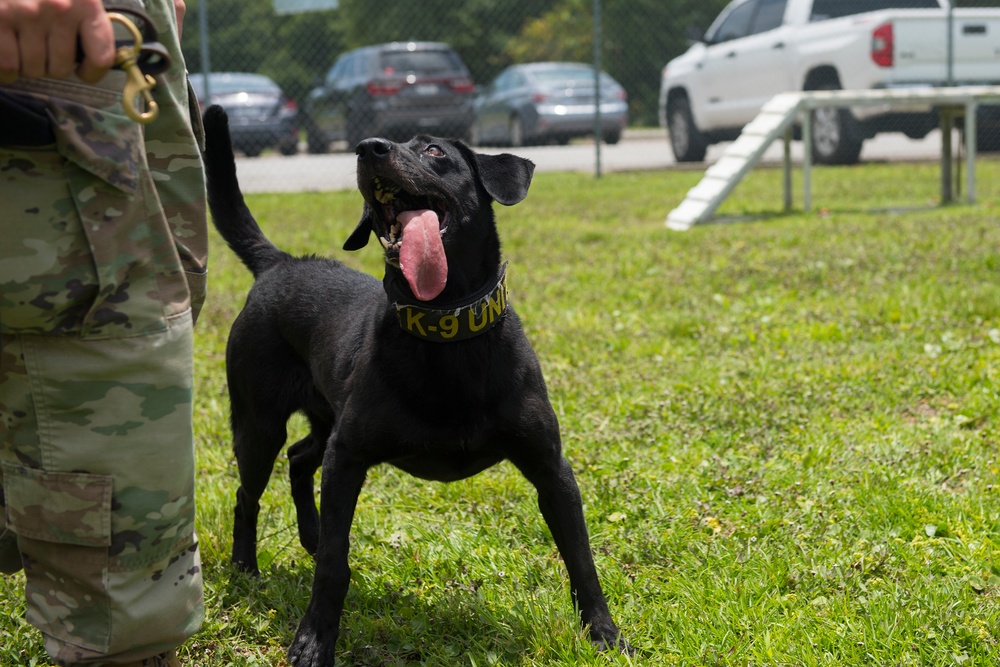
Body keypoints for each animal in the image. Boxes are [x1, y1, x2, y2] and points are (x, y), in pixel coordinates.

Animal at [199, 107, 628, 664]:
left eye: (433, 150)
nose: (368, 147)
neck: (446, 331)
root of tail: (281, 263)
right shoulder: (349, 455)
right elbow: (334, 564)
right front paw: (314, 641)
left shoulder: (550, 467)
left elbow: (581, 557)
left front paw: (604, 633)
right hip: (259, 424)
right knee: (249, 493)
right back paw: (245, 568)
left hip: (325, 417)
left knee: (300, 457)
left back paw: (309, 534)